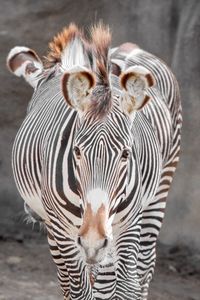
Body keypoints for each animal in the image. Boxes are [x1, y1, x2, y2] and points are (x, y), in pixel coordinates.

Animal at [7, 24, 182, 300]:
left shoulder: (125, 225)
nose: (93, 237)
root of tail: (131, 48)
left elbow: (122, 286)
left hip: (158, 193)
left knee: (143, 267)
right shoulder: (62, 230)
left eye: (126, 153)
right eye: (77, 151)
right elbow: (78, 288)